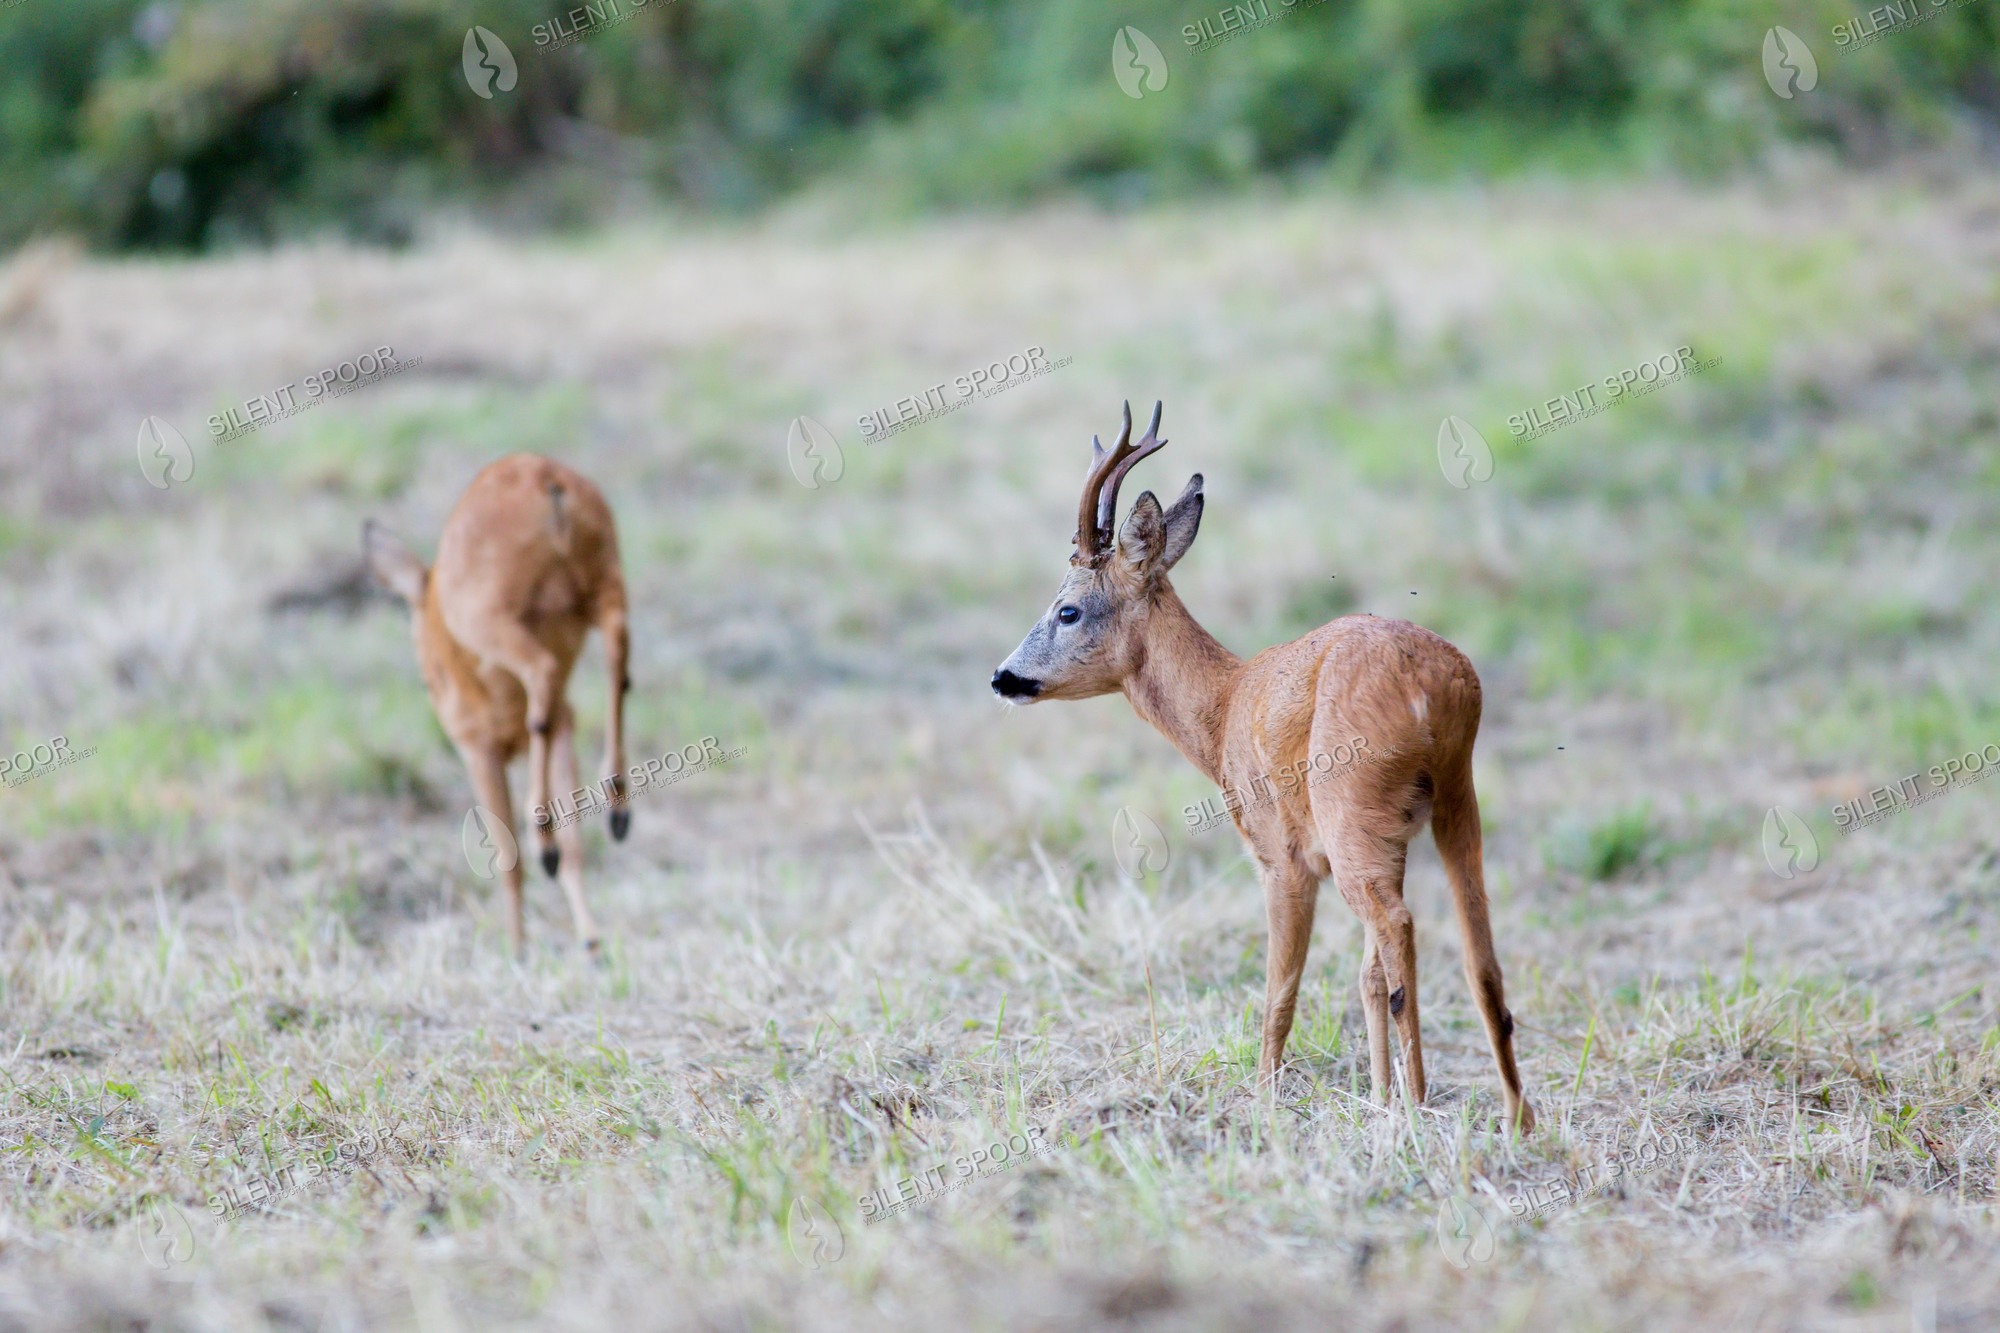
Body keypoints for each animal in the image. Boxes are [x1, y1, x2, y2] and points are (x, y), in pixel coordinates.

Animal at [363, 453, 631, 958]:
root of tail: (544, 477)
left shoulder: (478, 751)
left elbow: (508, 857)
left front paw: (518, 949)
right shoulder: (565, 729)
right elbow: (576, 842)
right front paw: (590, 940)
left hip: (499, 623)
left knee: (544, 671)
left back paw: (544, 834)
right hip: (605, 589)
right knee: (617, 658)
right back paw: (618, 806)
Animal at [991, 402, 1534, 1132]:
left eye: (1067, 608)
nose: (1003, 677)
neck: (1225, 703)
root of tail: (1437, 686)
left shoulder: (1282, 854)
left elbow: (1282, 986)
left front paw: (1267, 1099)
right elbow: (1362, 977)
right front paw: (1374, 1097)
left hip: (1351, 812)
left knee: (1398, 928)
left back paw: (1421, 1104)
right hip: (1452, 800)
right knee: (1477, 952)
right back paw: (1512, 1117)